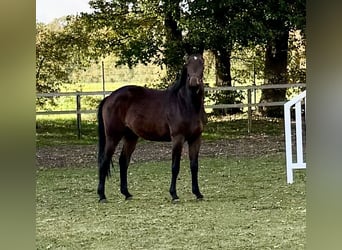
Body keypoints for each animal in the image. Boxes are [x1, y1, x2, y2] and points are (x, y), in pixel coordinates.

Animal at [97, 53, 207, 202]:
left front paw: (197, 193)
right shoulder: (177, 138)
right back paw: (102, 195)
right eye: (187, 64)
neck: (186, 104)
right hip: (113, 137)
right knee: (104, 162)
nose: (194, 82)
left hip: (130, 137)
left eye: (202, 64)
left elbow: (194, 166)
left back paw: (126, 193)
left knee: (123, 161)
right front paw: (174, 194)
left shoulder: (196, 138)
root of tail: (109, 97)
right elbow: (175, 166)